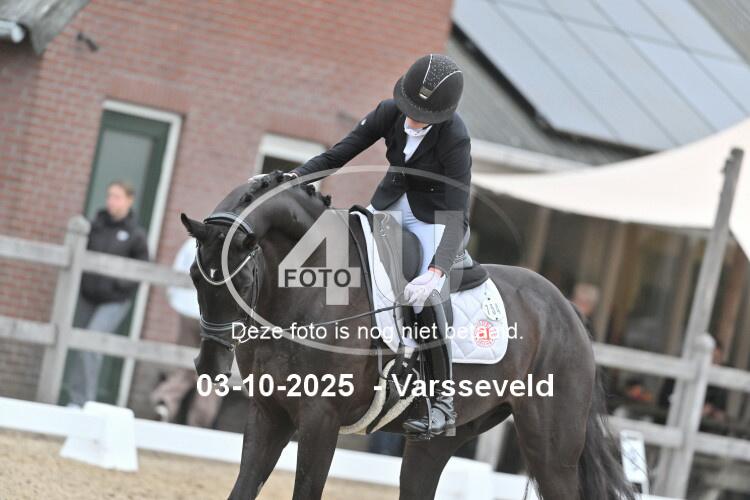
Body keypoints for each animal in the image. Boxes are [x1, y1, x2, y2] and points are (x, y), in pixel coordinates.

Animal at [179, 171, 636, 500]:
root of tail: (567, 309)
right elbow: (242, 489)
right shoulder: (268, 412)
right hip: (439, 441)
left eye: (241, 280)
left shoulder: (320, 420)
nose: (209, 366)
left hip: (552, 450)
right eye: (195, 276)